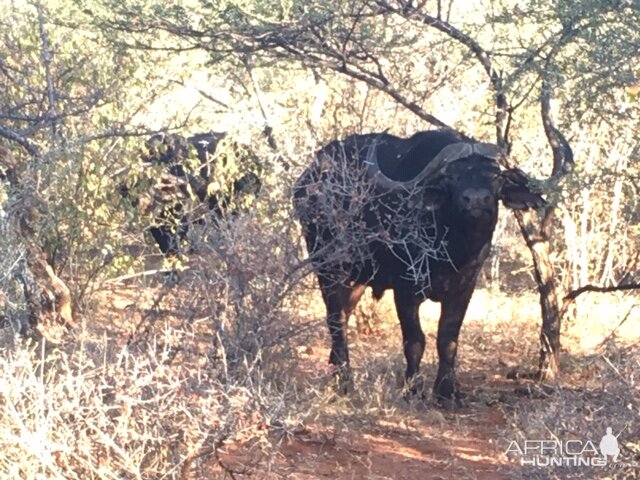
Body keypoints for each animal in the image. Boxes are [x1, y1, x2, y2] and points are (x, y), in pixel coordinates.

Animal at [294, 129, 544, 404]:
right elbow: (414, 341)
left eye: (495, 176)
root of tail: (307, 182)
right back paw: (344, 381)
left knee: (345, 315)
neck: (452, 250)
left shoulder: (465, 287)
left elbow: (448, 339)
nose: (476, 200)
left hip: (358, 278)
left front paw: (446, 390)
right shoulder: (405, 290)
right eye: (452, 177)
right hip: (327, 265)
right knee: (335, 319)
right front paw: (412, 388)